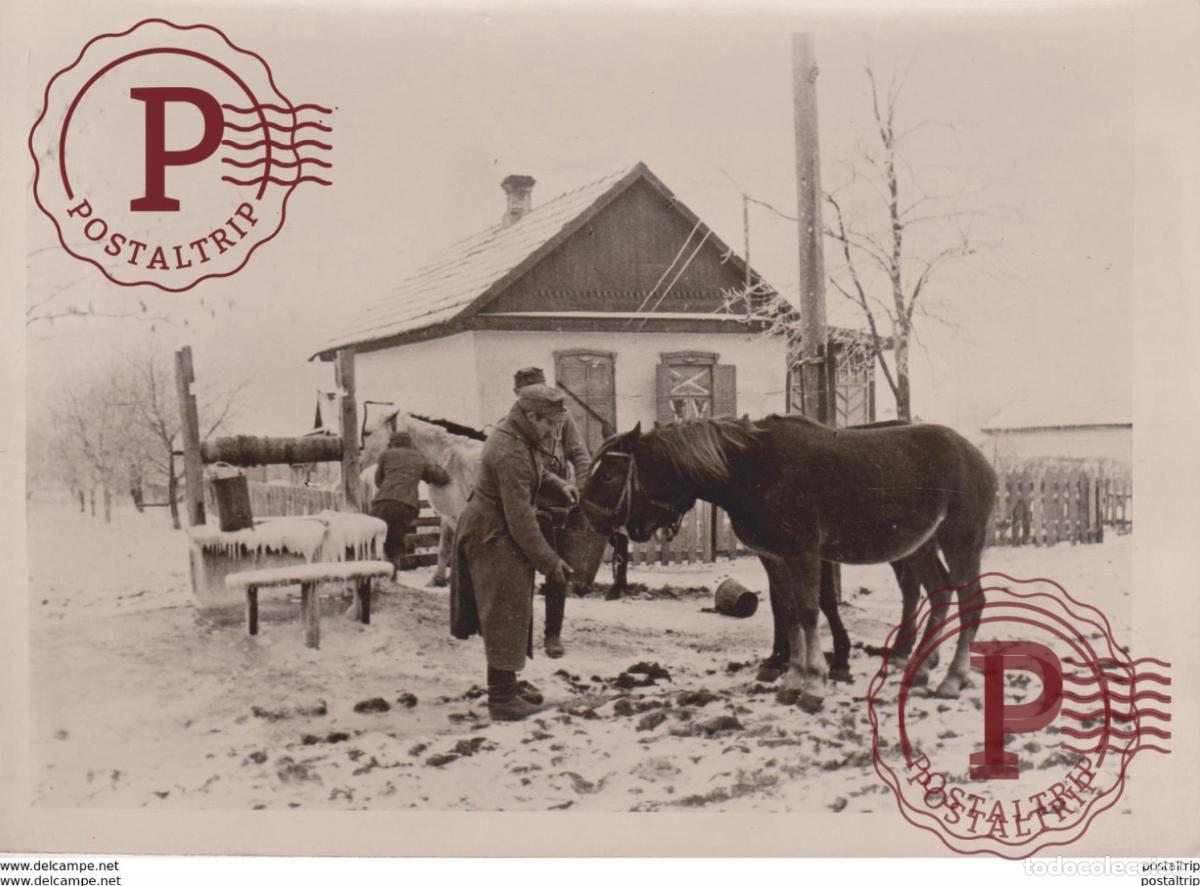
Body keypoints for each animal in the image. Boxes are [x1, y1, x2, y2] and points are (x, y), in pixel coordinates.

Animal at [580, 414, 997, 711]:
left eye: (610, 474)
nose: (587, 518)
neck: (753, 469)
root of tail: (978, 456)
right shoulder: (776, 558)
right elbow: (789, 612)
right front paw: (792, 679)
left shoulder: (805, 553)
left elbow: (810, 612)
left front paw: (813, 683)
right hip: (923, 545)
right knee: (939, 593)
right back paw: (920, 668)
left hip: (960, 539)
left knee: (970, 600)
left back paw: (952, 679)